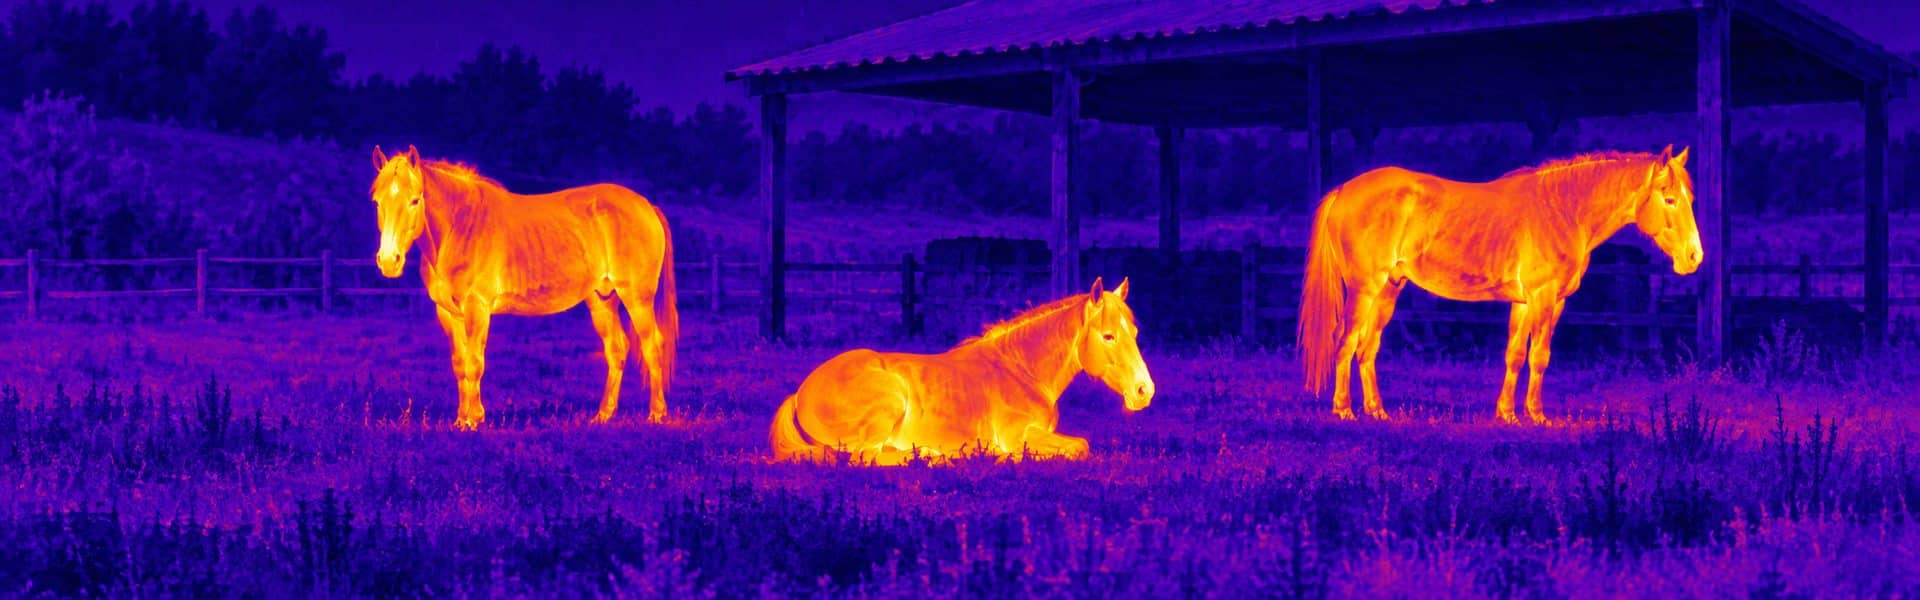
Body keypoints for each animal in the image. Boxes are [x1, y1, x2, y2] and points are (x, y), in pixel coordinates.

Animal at [368, 145, 678, 429]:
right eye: (377, 202)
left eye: (415, 200)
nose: (389, 261)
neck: (458, 227)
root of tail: (646, 206)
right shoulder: (448, 314)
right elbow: (459, 364)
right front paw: (460, 419)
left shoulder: (477, 308)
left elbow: (474, 363)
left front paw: (474, 419)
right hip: (602, 299)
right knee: (617, 349)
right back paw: (603, 415)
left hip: (637, 299)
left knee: (652, 346)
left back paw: (657, 414)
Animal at [771, 278, 1154, 465]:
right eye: (1108, 335)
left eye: (1135, 332)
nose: (1143, 391)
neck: (1021, 371)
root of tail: (800, 393)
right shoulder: (1019, 435)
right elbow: (1080, 446)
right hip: (889, 402)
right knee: (863, 457)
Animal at [1298, 146, 1704, 425]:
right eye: (1669, 199)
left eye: (1690, 199)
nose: (1694, 257)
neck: (1563, 210)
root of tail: (1343, 191)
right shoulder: (1544, 298)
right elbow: (1540, 356)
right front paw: (1537, 415)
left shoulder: (1527, 303)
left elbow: (1515, 356)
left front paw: (1507, 413)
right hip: (1364, 289)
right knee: (1346, 342)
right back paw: (1344, 410)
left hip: (1388, 291)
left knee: (1367, 348)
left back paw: (1377, 411)